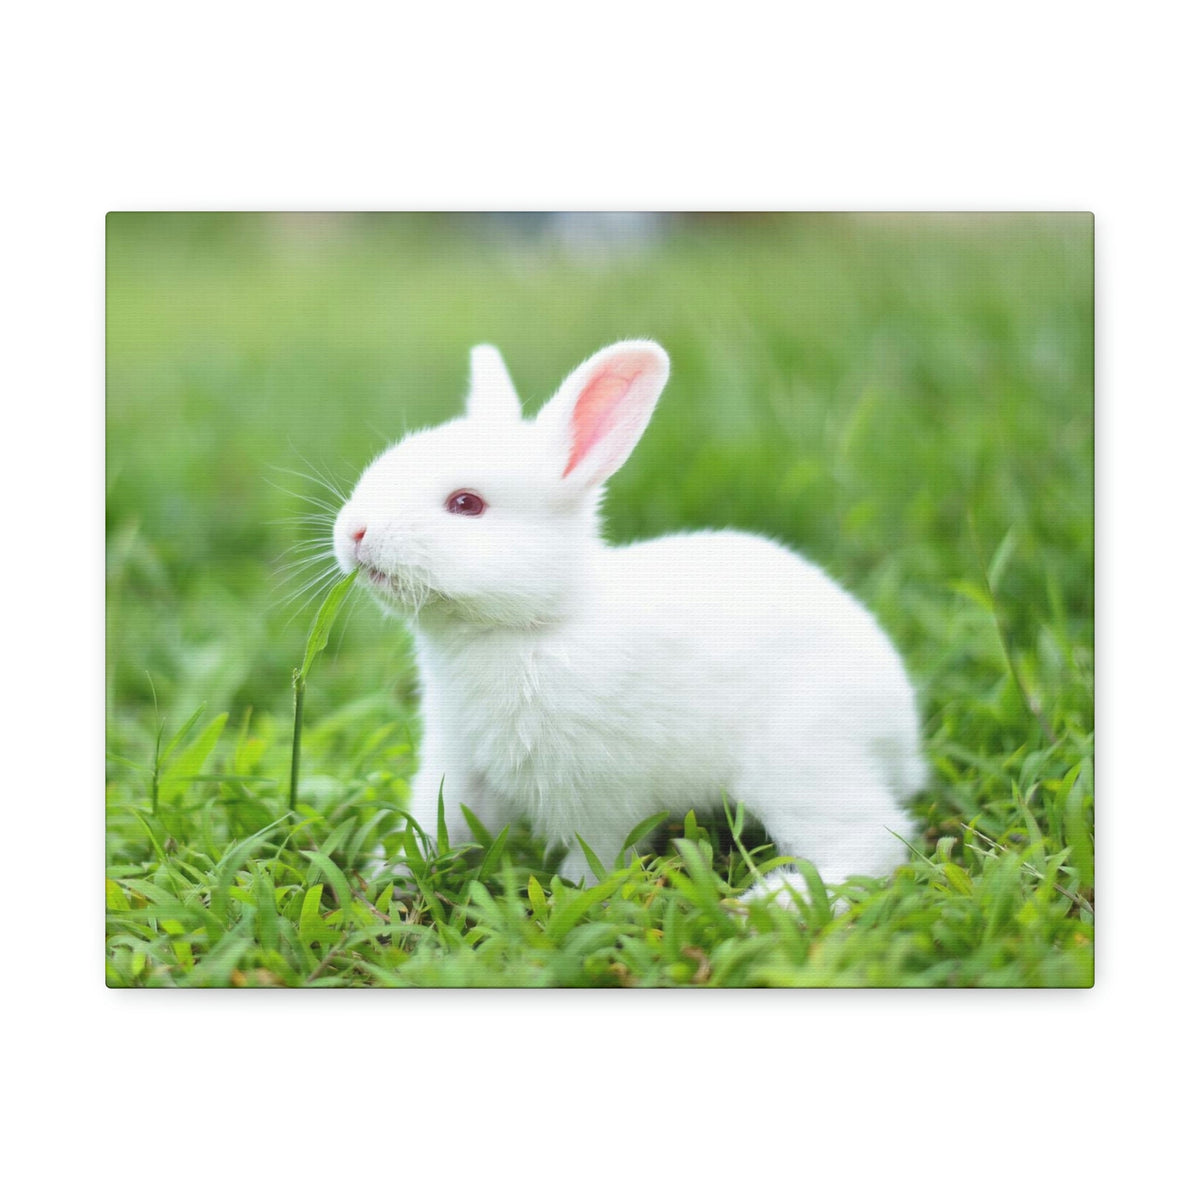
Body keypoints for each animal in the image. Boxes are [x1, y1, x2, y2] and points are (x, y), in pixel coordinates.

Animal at [332, 340, 925, 904]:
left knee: (872, 842)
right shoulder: (459, 768)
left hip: (799, 763)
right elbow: (434, 829)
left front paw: (571, 895)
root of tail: (901, 727)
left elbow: (596, 855)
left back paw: (770, 903)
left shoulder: (599, 795)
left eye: (466, 504)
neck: (533, 626)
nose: (355, 532)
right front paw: (386, 877)